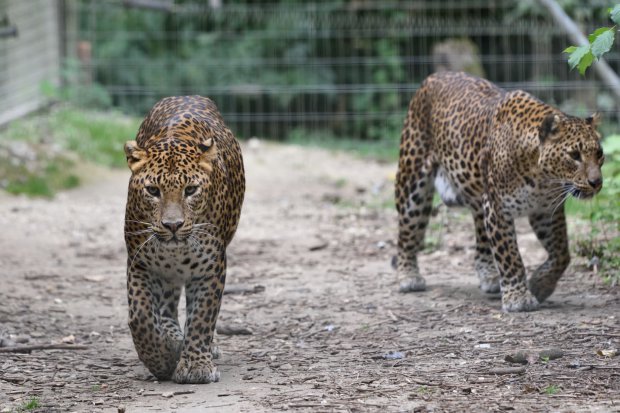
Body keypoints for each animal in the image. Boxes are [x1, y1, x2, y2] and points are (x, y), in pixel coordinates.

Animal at [123, 95, 245, 382]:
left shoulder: (211, 267)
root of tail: (187, 96)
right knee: (167, 304)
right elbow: (141, 316)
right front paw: (162, 359)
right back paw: (172, 338)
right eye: (152, 190)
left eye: (190, 190)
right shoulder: (139, 263)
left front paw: (195, 366)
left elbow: (202, 316)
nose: (173, 225)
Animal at [394, 71, 604, 310]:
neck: (542, 178)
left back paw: (490, 276)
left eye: (599, 154)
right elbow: (510, 256)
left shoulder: (545, 211)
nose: (596, 182)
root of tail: (433, 76)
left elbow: (561, 253)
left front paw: (540, 285)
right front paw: (518, 298)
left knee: (482, 239)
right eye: (574, 156)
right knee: (407, 231)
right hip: (412, 184)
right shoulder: (498, 209)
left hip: (478, 200)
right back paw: (408, 276)